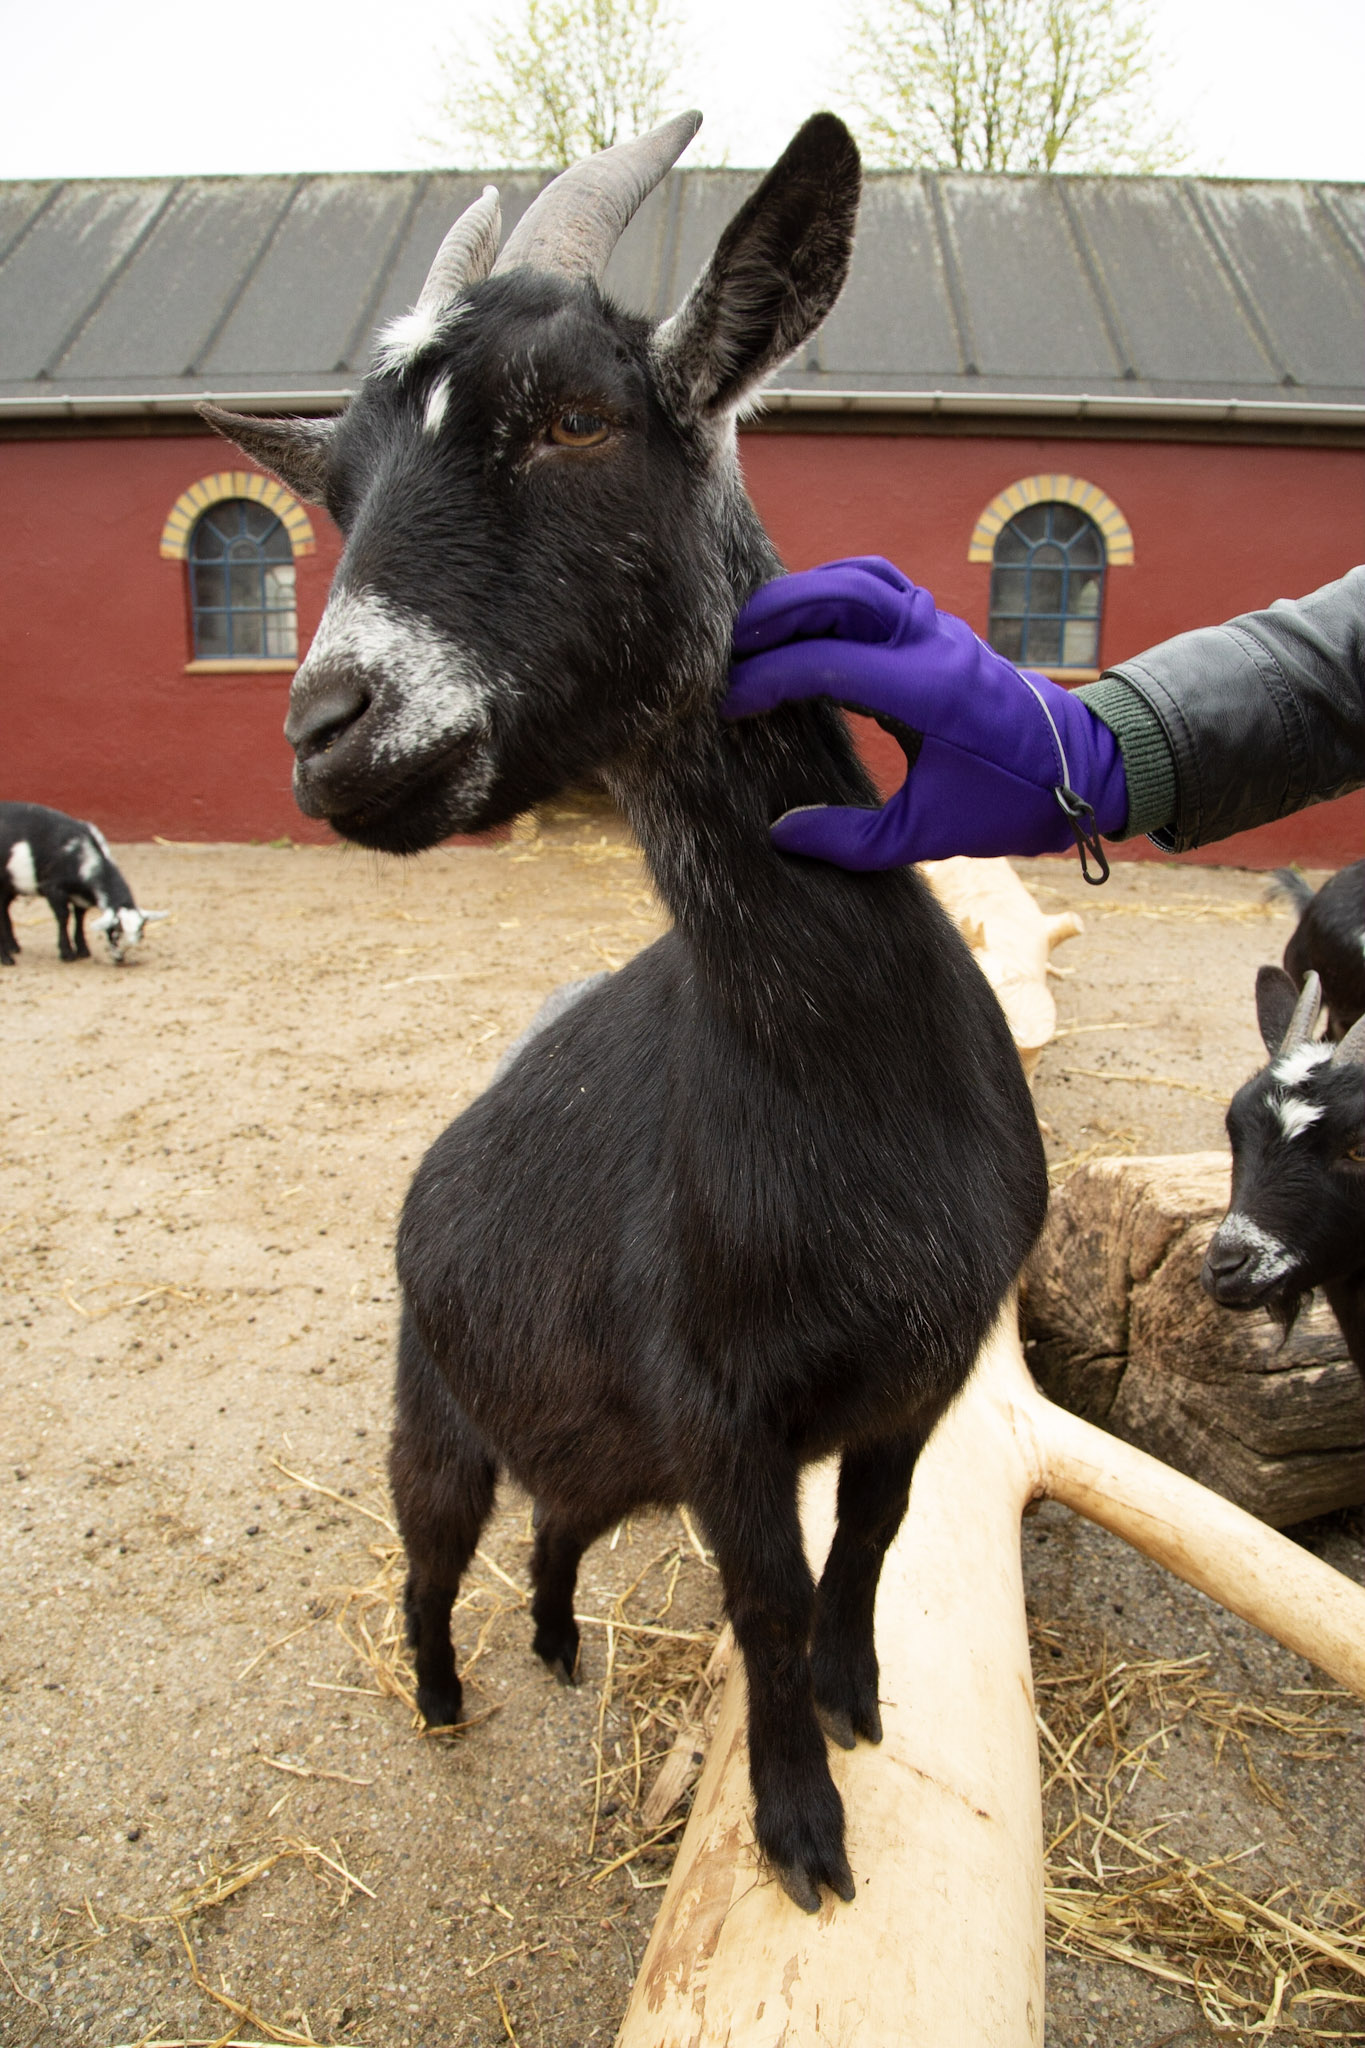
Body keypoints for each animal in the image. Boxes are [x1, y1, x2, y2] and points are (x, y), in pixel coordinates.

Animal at [0, 794, 165, 962]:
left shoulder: (80, 895)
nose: (119, 958)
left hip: (9, 884)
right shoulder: (54, 889)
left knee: (4, 908)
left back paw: (13, 946)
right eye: (114, 931)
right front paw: (67, 953)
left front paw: (83, 950)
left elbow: (80, 918)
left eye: (141, 934)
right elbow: (63, 917)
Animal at [208, 108, 1055, 1900]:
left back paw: (551, 1645)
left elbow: (866, 1545)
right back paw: (446, 1694)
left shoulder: (922, 1376)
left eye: (577, 418)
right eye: (334, 485)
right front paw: (801, 1828)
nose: (328, 732)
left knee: (554, 1526)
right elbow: (766, 1599)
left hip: (590, 1444)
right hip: (434, 1409)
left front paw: (861, 1698)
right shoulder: (716, 1409)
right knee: (430, 1556)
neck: (842, 1089)